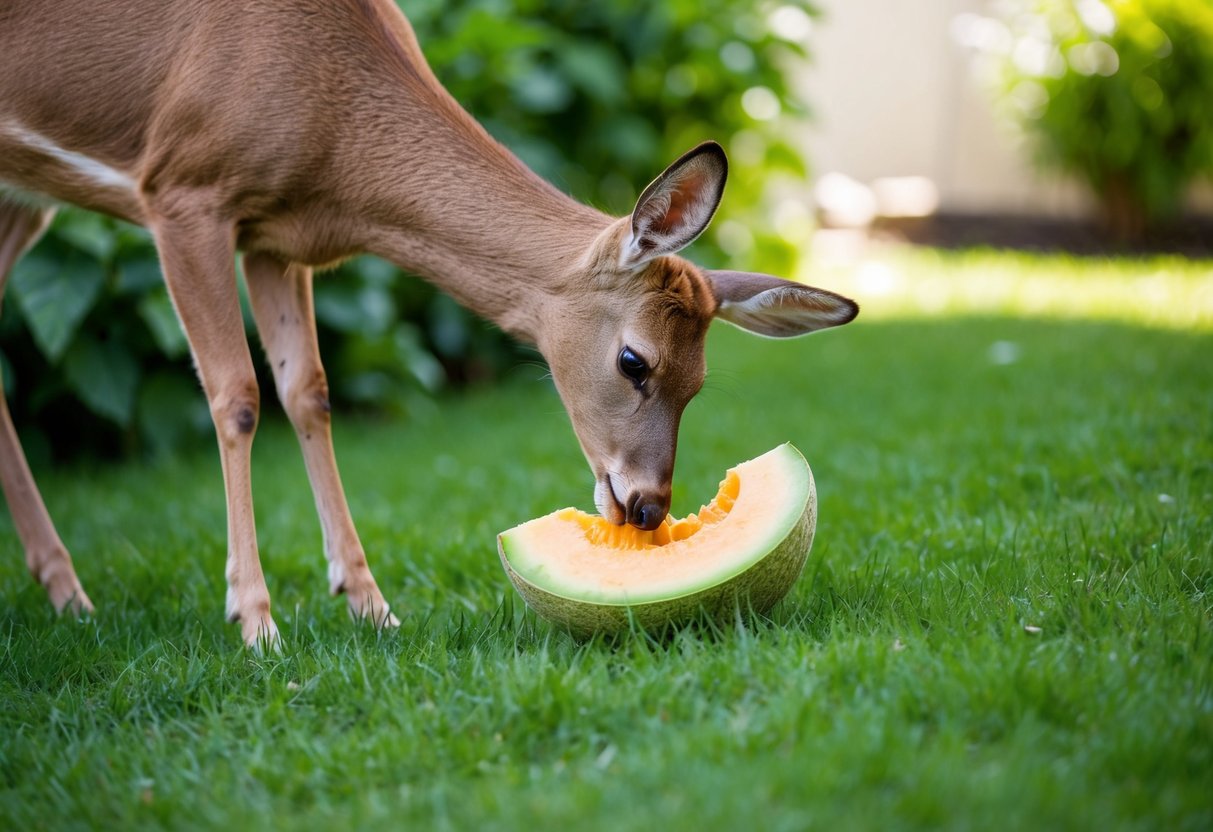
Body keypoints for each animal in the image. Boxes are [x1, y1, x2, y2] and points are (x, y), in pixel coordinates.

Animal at [0, 0, 858, 650]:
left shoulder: (277, 238)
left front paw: (371, 607)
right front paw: (256, 623)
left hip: (24, 198)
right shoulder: (183, 191)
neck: (335, 140)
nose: (647, 507)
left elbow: (309, 391)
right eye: (633, 361)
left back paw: (68, 594)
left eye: (700, 382)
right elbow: (236, 396)